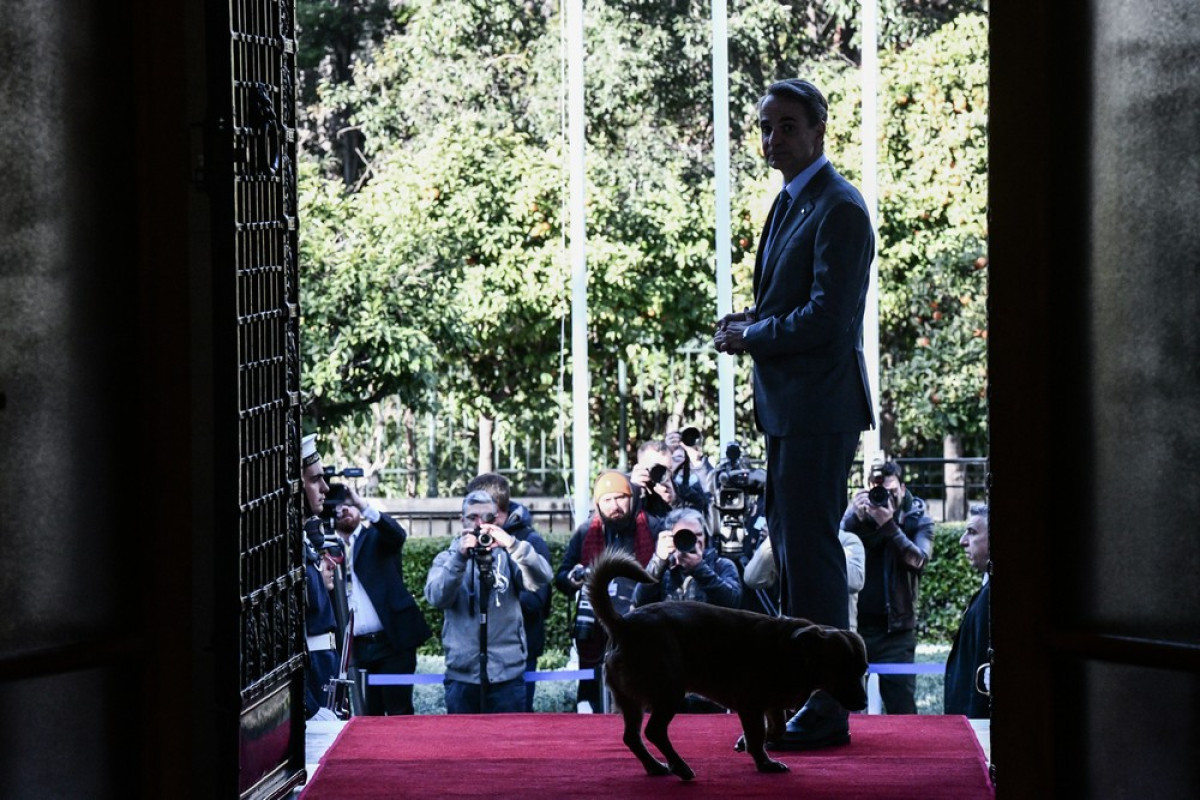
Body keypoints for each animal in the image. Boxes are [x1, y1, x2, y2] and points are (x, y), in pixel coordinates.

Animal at [585, 546, 868, 777]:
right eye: (842, 669)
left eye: (863, 670)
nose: (864, 703)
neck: (793, 650)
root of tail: (622, 624)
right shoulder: (750, 705)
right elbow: (758, 735)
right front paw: (764, 763)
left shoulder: (772, 706)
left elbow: (775, 730)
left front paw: (745, 742)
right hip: (669, 692)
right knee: (653, 731)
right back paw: (680, 767)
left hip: (632, 702)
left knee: (632, 737)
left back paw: (655, 766)